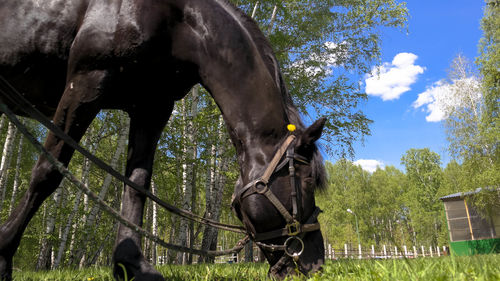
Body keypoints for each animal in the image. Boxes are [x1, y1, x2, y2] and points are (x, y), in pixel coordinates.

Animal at [0, 1, 326, 278]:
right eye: (307, 183)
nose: (317, 265)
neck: (177, 20)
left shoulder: (151, 107)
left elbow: (137, 185)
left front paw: (131, 264)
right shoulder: (86, 81)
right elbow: (48, 170)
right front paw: (4, 252)